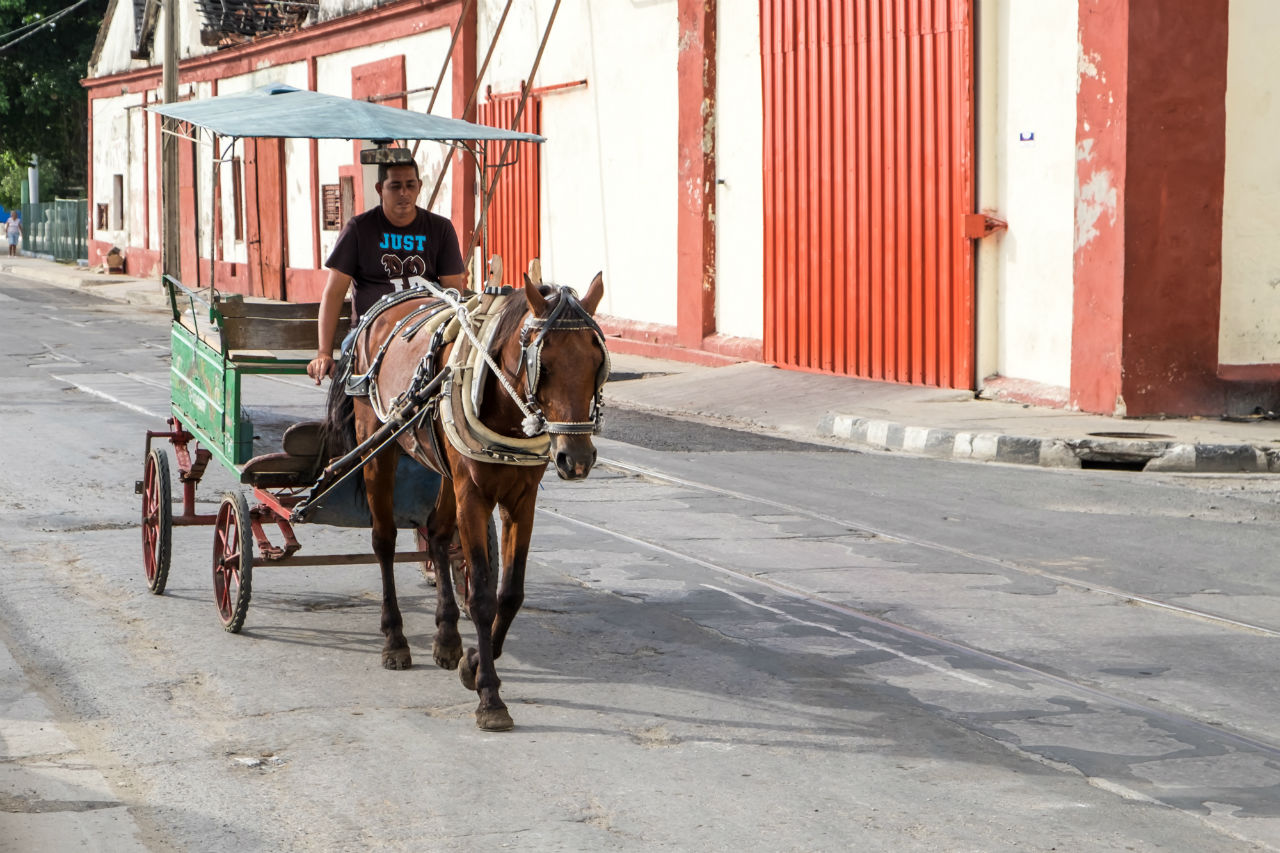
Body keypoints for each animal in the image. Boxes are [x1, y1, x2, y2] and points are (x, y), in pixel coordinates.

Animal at [317, 272, 601, 732]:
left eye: (596, 364)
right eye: (545, 365)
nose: (575, 459)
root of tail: (393, 298)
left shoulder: (520, 500)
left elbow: (510, 592)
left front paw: (471, 662)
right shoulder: (474, 496)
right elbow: (483, 595)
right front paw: (489, 695)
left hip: (444, 470)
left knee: (437, 535)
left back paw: (447, 638)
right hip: (377, 446)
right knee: (383, 541)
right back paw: (394, 639)